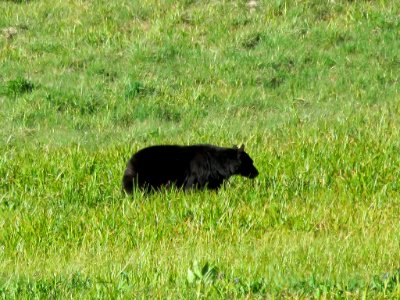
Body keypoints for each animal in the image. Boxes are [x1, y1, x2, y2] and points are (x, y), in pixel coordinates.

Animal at [122, 144, 260, 195]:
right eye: (251, 162)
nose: (257, 173)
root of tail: (129, 163)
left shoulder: (214, 179)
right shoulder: (198, 174)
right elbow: (191, 188)